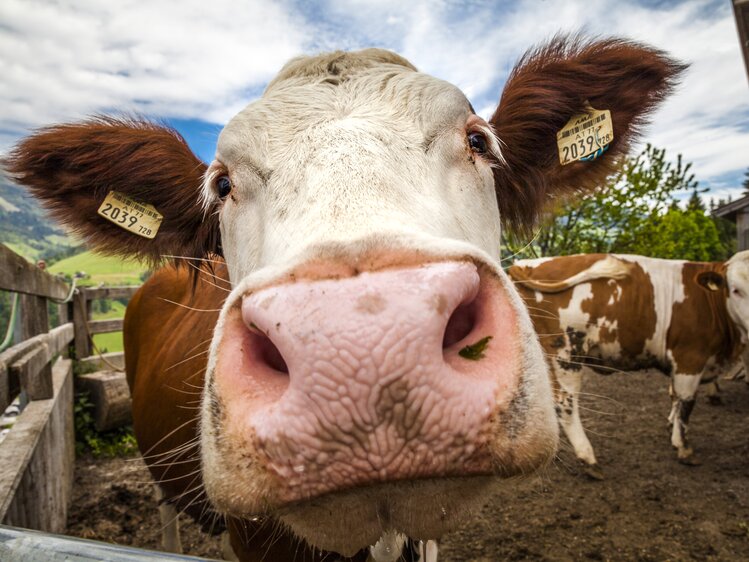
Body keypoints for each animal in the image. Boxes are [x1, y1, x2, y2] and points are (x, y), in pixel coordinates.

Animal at [508, 249, 748, 472]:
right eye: (735, 290)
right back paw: (588, 457)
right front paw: (683, 447)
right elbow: (687, 402)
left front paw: (671, 427)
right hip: (566, 352)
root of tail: (527, 265)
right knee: (565, 403)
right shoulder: (690, 357)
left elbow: (675, 397)